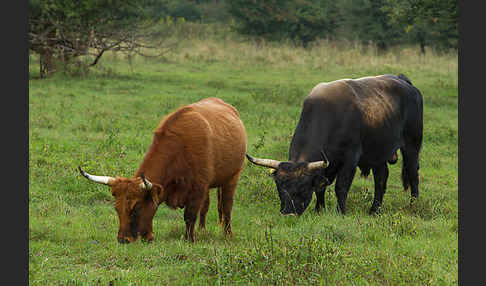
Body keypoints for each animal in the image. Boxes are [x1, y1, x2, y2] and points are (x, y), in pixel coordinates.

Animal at [79, 97, 249, 242]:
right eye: (116, 208)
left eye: (136, 207)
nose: (123, 240)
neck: (180, 149)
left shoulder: (198, 188)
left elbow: (190, 215)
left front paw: (189, 239)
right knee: (206, 207)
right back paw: (202, 230)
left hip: (232, 177)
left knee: (227, 206)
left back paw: (228, 234)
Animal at [247, 73, 422, 214]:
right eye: (280, 187)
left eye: (302, 187)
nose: (288, 213)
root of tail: (404, 82)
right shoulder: (327, 165)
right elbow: (321, 188)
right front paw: (319, 210)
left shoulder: (350, 158)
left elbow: (341, 186)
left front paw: (340, 211)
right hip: (378, 152)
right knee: (381, 177)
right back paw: (374, 210)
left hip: (412, 145)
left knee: (413, 174)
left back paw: (413, 205)